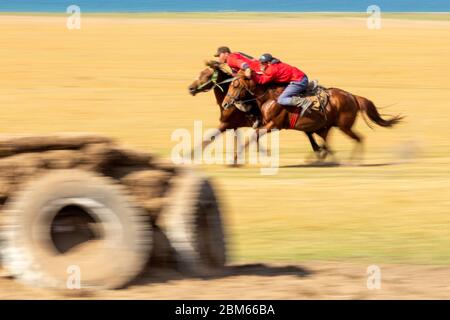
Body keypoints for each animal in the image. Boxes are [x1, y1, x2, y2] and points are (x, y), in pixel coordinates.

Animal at [223, 70, 402, 160]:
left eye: (235, 85)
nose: (225, 103)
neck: (270, 97)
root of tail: (353, 97)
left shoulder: (273, 125)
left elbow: (252, 137)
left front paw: (236, 157)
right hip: (332, 126)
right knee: (335, 141)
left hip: (344, 126)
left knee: (359, 139)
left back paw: (352, 161)